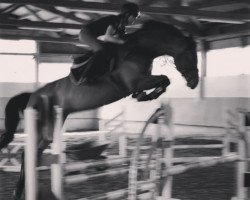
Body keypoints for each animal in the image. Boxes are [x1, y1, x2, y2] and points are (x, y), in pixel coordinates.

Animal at [0, 19, 199, 199]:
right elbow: (165, 78)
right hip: (44, 125)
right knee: (28, 154)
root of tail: (33, 96)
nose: (194, 83)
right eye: (190, 54)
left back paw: (20, 191)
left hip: (51, 127)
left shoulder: (141, 81)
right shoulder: (136, 81)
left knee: (31, 155)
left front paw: (145, 96)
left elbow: (163, 81)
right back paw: (20, 191)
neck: (140, 50)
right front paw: (148, 95)